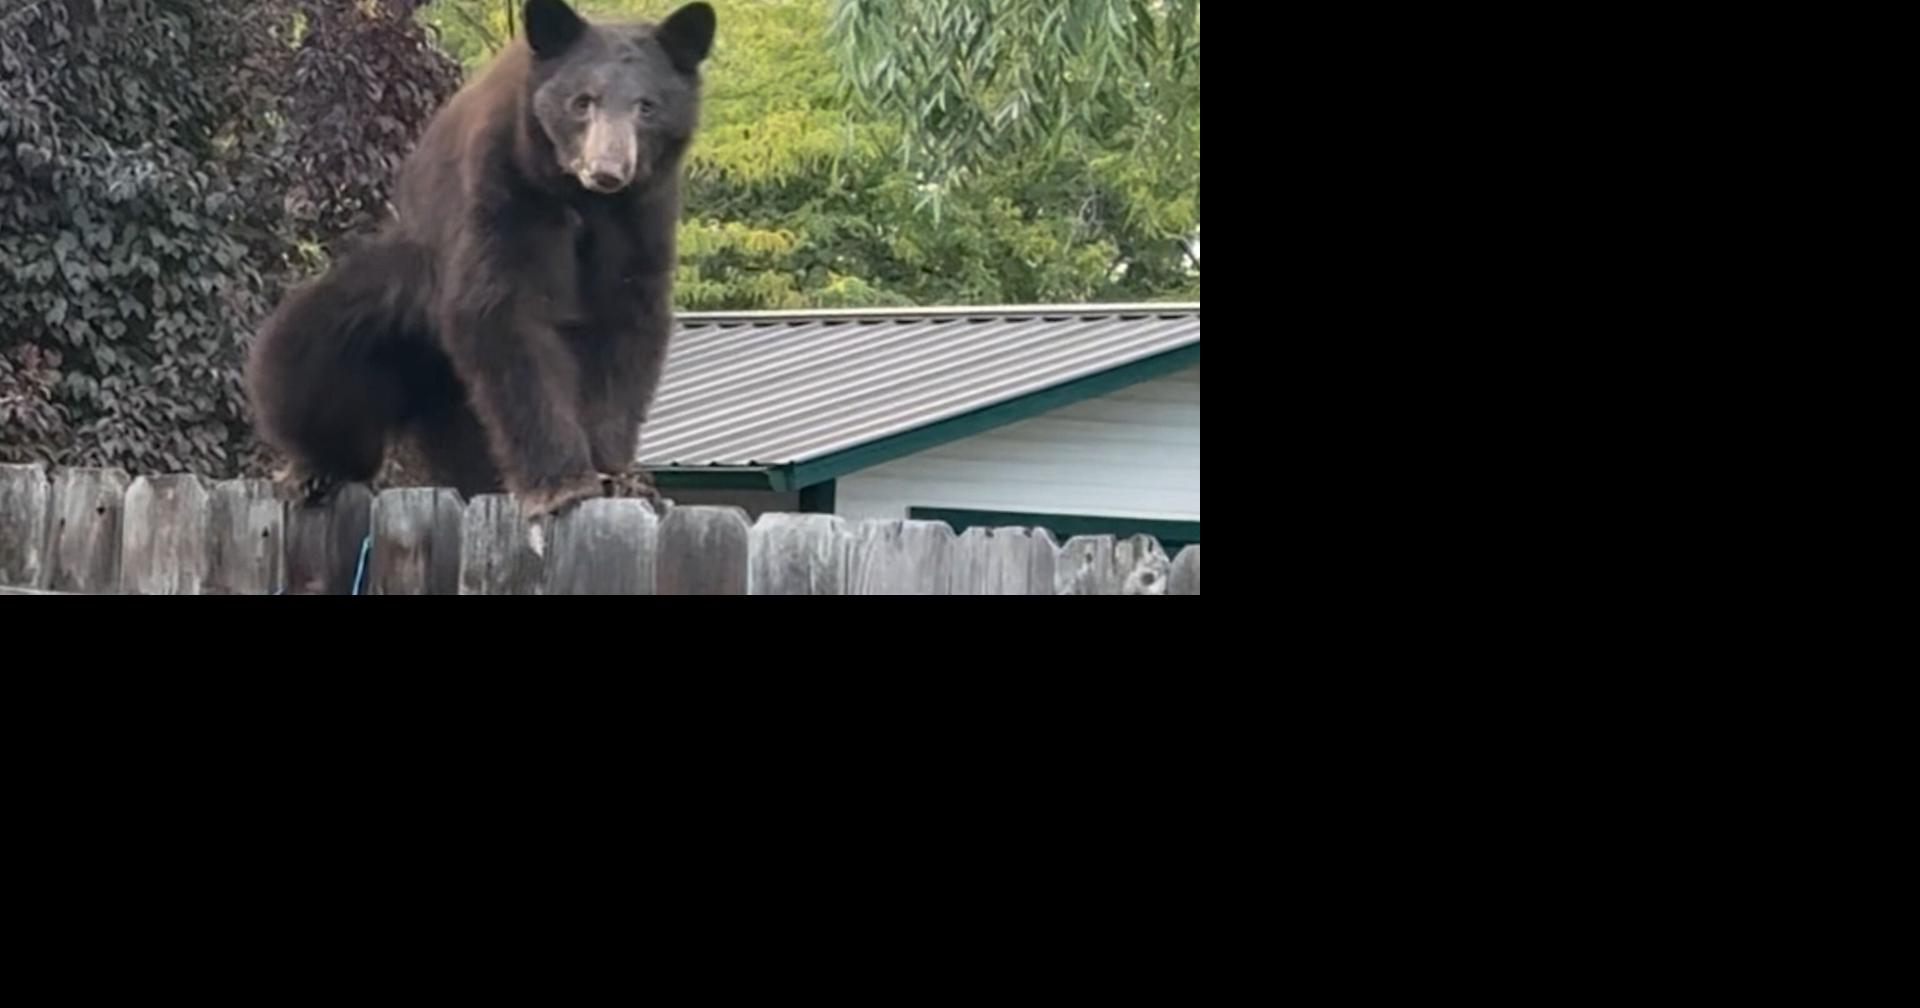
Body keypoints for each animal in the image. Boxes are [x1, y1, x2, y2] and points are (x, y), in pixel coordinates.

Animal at [245, 0, 716, 518]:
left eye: (647, 106)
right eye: (582, 102)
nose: (608, 170)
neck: (578, 196)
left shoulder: (642, 213)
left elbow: (625, 320)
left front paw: (617, 474)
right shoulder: (504, 185)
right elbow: (504, 311)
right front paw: (562, 483)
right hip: (397, 305)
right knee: (311, 358)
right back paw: (317, 468)